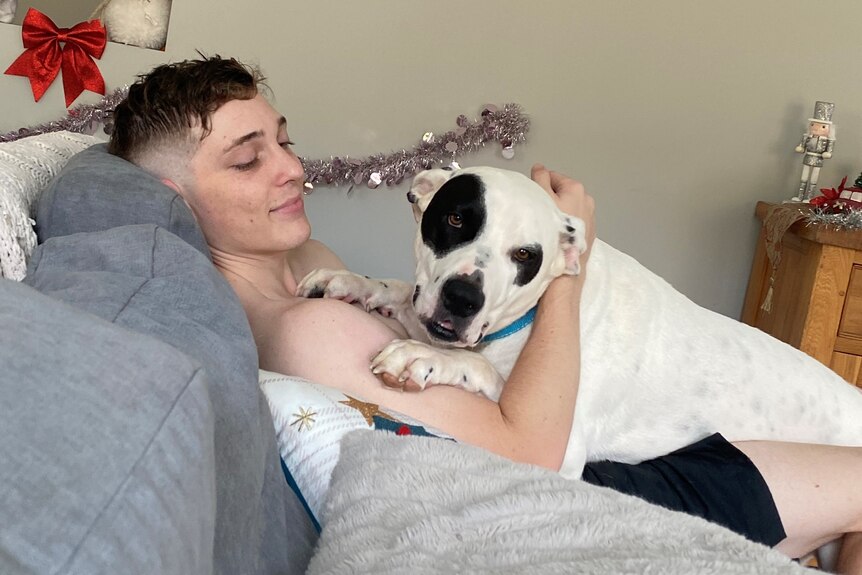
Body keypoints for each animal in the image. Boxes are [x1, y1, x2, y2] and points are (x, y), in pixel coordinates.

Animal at [300, 165, 862, 476]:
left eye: (525, 255)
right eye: (456, 218)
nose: (463, 299)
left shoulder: (559, 445)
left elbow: (483, 372)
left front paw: (423, 357)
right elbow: (399, 291)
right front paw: (355, 283)